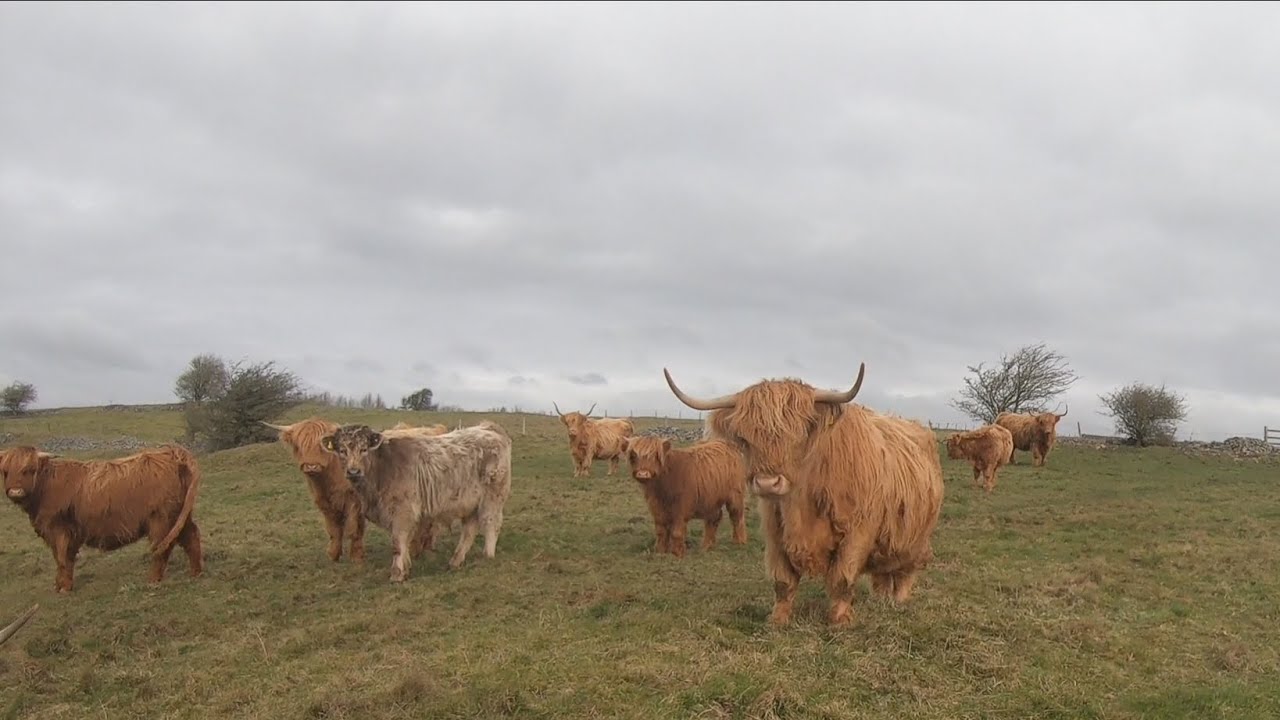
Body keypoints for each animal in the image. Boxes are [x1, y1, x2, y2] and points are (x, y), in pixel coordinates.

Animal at [1, 445, 203, 593]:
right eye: (5, 471)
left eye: (29, 470)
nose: (16, 491)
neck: (45, 487)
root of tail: (171, 451)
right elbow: (61, 558)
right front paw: (59, 585)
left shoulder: (60, 530)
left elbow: (63, 558)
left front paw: (64, 588)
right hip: (178, 516)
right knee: (191, 536)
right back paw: (195, 574)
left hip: (161, 519)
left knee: (162, 548)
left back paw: (153, 580)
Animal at [263, 418, 451, 564]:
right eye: (299, 445)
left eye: (320, 446)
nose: (311, 466)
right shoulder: (324, 503)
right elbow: (333, 530)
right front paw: (333, 554)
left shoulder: (355, 502)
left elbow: (354, 529)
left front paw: (357, 557)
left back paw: (422, 547)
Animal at [320, 420, 513, 583]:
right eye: (342, 450)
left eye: (364, 449)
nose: (353, 471)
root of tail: (488, 427)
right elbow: (403, 543)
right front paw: (405, 568)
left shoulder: (403, 511)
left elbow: (398, 543)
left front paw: (397, 574)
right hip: (470, 502)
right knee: (469, 531)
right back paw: (456, 561)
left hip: (493, 497)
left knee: (491, 523)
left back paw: (487, 556)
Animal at [665, 363, 945, 627]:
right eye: (745, 438)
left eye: (797, 435)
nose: (767, 483)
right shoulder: (775, 530)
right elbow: (783, 581)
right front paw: (778, 619)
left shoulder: (858, 530)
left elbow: (842, 578)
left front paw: (839, 620)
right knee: (884, 571)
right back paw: (882, 599)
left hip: (915, 536)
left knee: (906, 569)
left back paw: (899, 601)